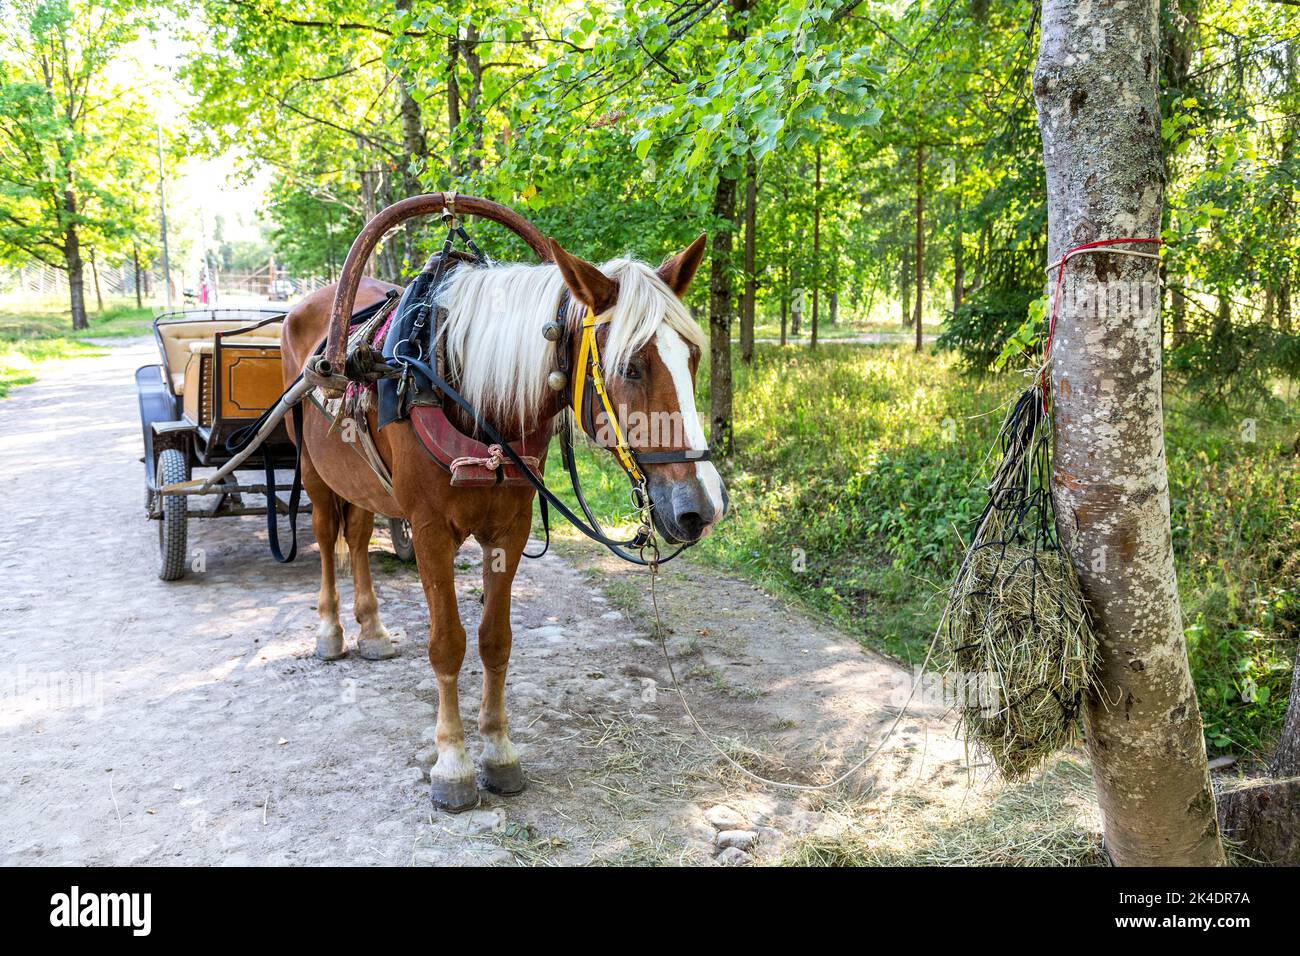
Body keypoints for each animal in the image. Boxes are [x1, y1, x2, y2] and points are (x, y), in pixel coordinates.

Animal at [280, 234, 727, 812]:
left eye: (692, 357)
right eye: (631, 367)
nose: (703, 506)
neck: (465, 390)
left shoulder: (509, 532)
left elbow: (496, 640)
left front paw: (498, 750)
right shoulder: (429, 534)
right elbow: (447, 644)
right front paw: (453, 763)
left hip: (360, 479)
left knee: (356, 536)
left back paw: (373, 629)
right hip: (313, 470)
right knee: (324, 533)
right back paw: (331, 630)